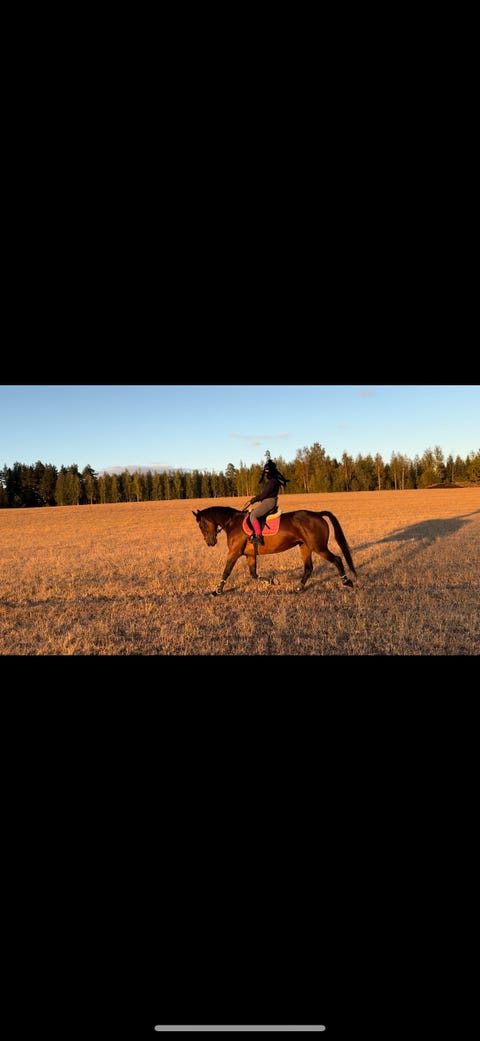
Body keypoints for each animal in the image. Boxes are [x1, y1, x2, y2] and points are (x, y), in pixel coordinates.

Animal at [193, 504, 357, 596]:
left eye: (201, 525)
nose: (210, 542)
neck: (232, 522)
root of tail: (317, 514)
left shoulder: (234, 553)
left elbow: (226, 571)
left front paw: (217, 591)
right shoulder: (250, 555)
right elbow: (253, 574)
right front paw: (272, 581)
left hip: (319, 547)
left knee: (337, 559)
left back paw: (347, 582)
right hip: (305, 547)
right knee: (308, 568)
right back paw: (298, 589)